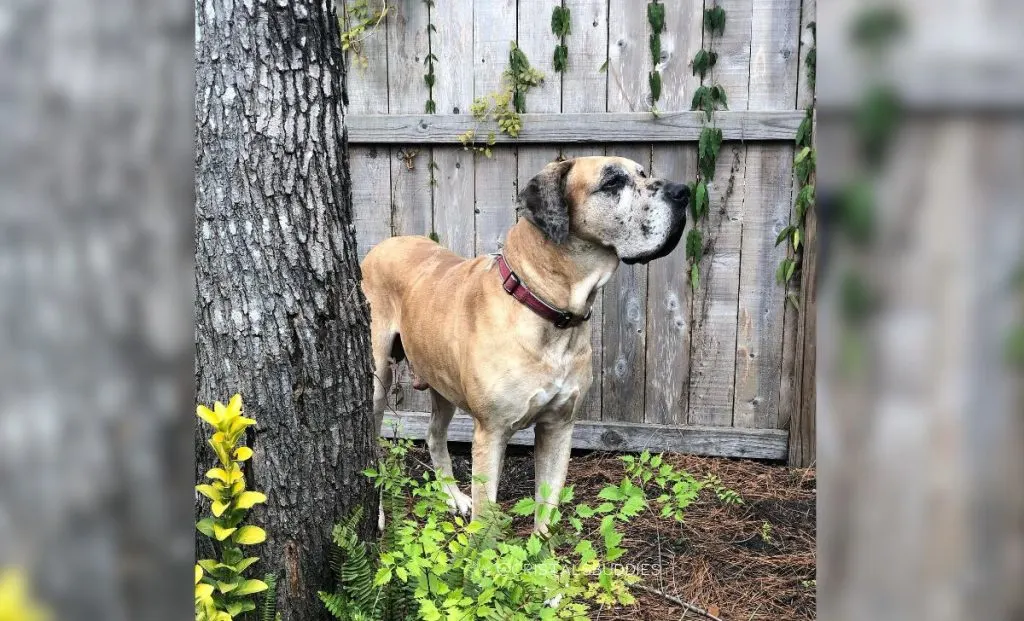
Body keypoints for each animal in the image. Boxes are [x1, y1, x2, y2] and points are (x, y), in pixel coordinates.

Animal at [360, 155, 688, 528]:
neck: (548, 309)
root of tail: (383, 245)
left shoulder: (558, 428)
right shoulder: (491, 433)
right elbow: (485, 521)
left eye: (643, 173)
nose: (683, 192)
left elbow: (546, 513)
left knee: (434, 434)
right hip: (377, 380)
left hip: (440, 377)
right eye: (612, 182)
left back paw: (453, 496)